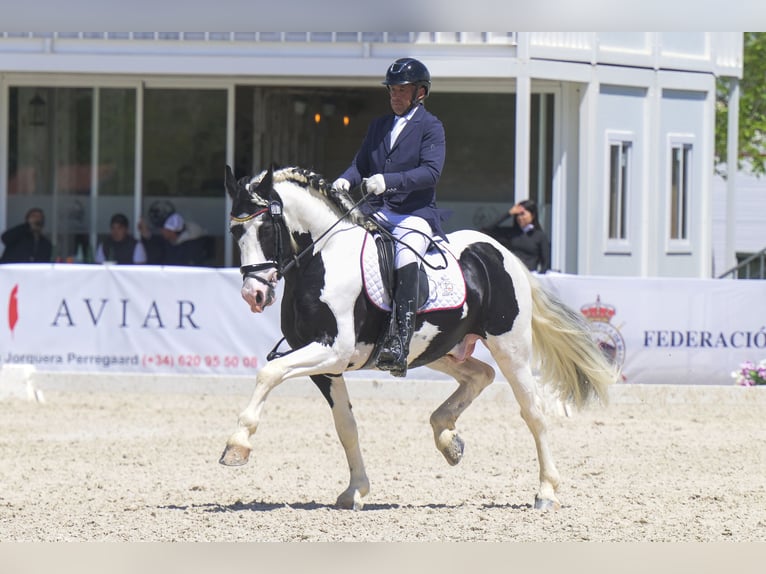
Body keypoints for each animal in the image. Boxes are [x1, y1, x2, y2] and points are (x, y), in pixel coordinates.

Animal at [219, 164, 617, 510]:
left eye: (265, 229)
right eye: (236, 233)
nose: (254, 295)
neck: (322, 259)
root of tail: (501, 252)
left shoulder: (332, 351)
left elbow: (268, 373)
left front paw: (237, 446)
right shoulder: (326, 366)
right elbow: (346, 426)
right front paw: (355, 490)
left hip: (510, 347)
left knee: (532, 411)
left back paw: (546, 491)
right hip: (437, 349)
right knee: (480, 375)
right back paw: (448, 439)